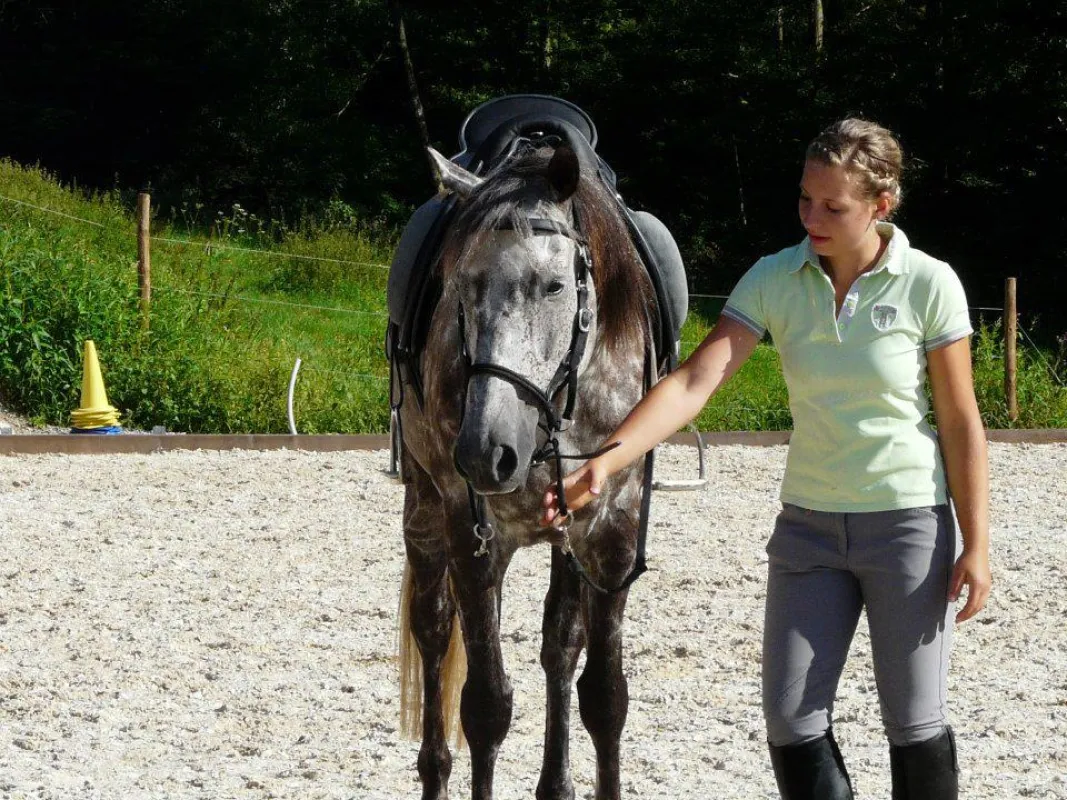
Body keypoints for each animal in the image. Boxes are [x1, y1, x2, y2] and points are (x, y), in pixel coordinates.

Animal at [395, 135, 658, 800]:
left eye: (555, 286)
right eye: (459, 286)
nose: (485, 451)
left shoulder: (610, 535)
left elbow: (605, 697)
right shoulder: (475, 535)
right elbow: (486, 707)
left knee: (559, 646)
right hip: (425, 510)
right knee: (433, 631)